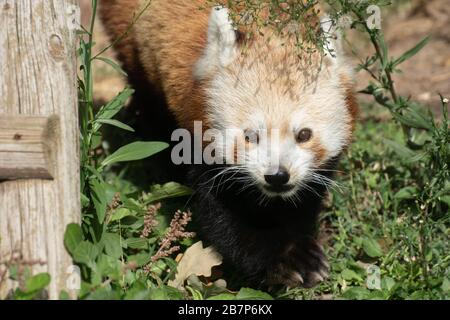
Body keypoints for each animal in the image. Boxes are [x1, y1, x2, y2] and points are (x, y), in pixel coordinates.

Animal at [101, 0, 358, 288]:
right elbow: (222, 215)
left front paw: (300, 246)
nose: (277, 176)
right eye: (250, 135)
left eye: (303, 134)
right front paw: (284, 260)